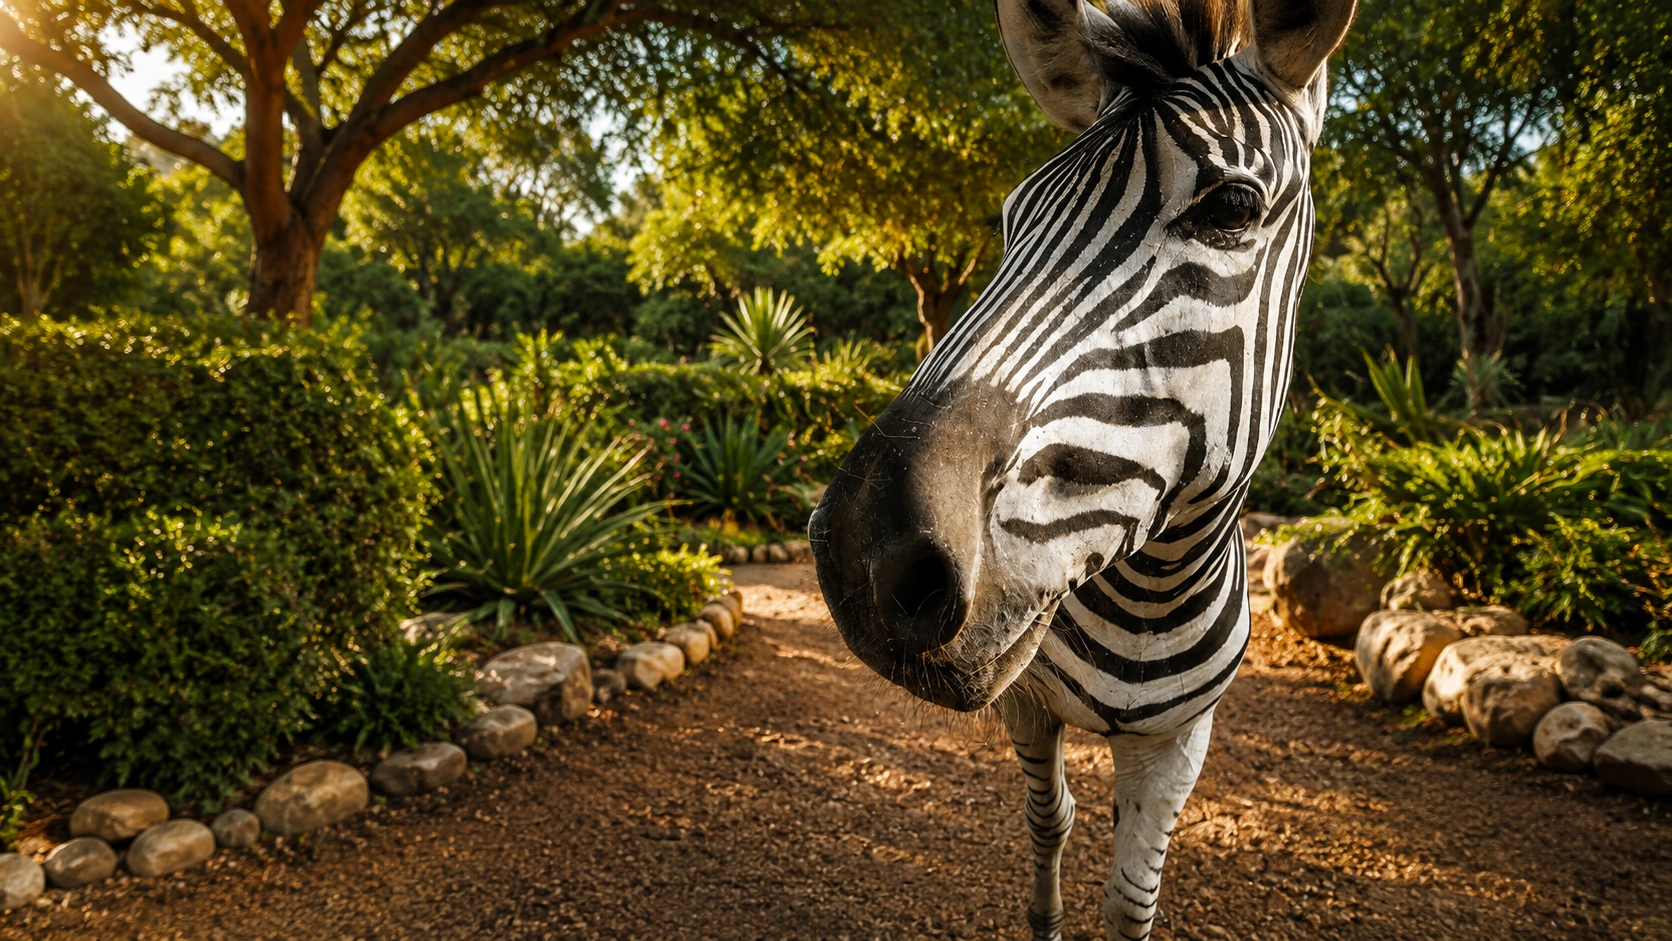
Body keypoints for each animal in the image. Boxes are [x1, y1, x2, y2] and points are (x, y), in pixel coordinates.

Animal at [808, 0, 1355, 938]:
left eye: (1234, 205)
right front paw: (1044, 912)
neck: (1151, 594)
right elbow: (1048, 819)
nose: (867, 557)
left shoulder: (1182, 738)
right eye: (1011, 221)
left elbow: (1133, 896)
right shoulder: (1028, 704)